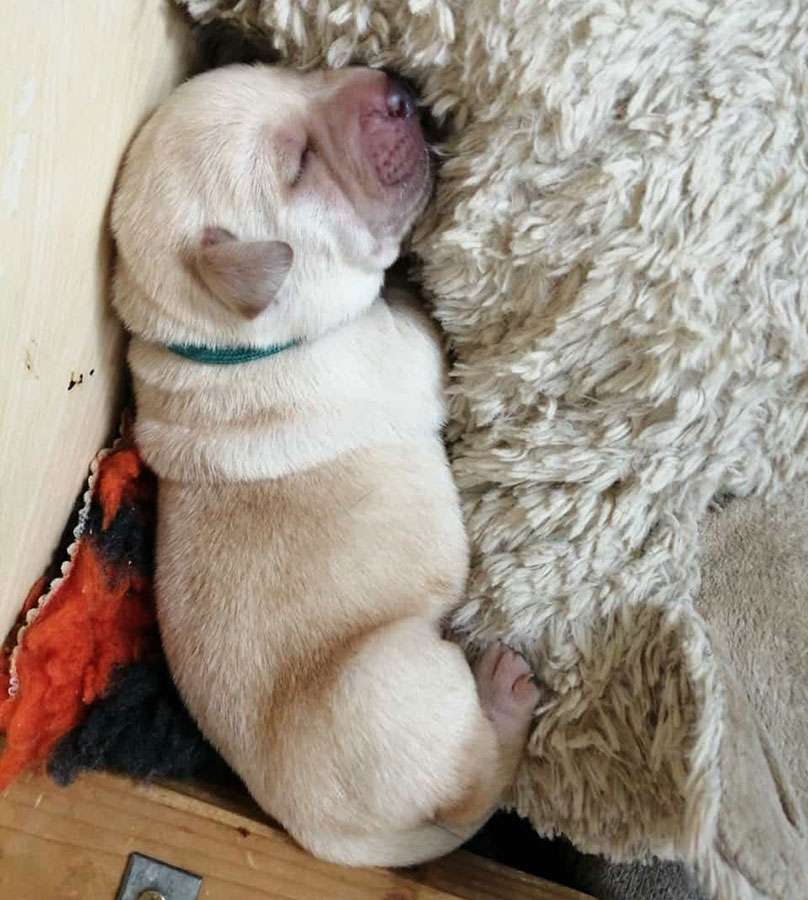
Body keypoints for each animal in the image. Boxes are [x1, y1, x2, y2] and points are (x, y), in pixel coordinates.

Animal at [111, 63, 539, 867]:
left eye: (290, 71)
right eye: (300, 164)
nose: (396, 91)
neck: (217, 341)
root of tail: (328, 840)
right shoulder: (404, 356)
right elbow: (428, 333)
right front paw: (423, 280)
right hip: (389, 686)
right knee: (476, 782)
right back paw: (506, 697)